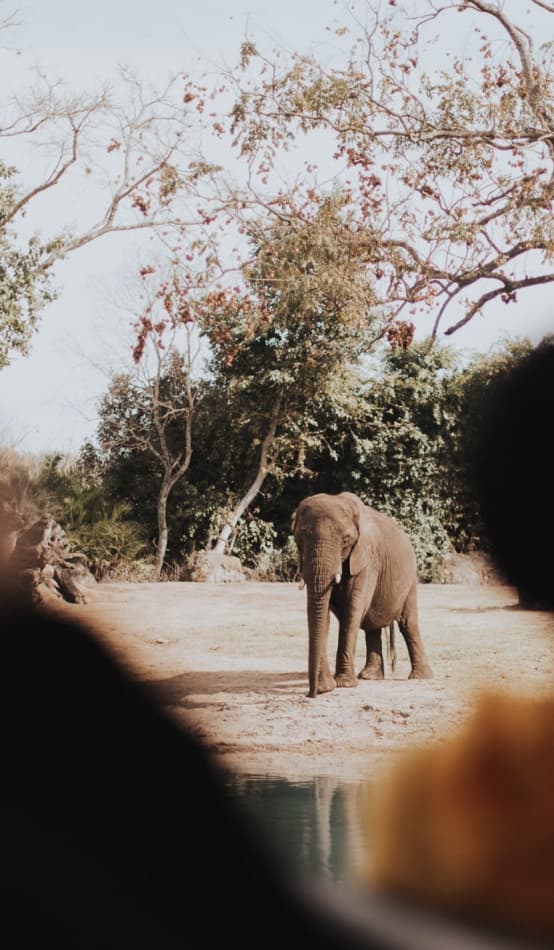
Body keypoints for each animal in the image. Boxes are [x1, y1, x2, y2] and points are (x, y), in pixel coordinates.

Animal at [292, 490, 430, 700]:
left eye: (347, 539)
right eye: (299, 538)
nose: (311, 694)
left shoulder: (367, 558)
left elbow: (353, 608)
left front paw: (343, 685)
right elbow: (323, 613)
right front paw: (327, 687)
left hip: (411, 578)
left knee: (408, 623)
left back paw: (420, 677)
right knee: (372, 626)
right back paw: (369, 676)